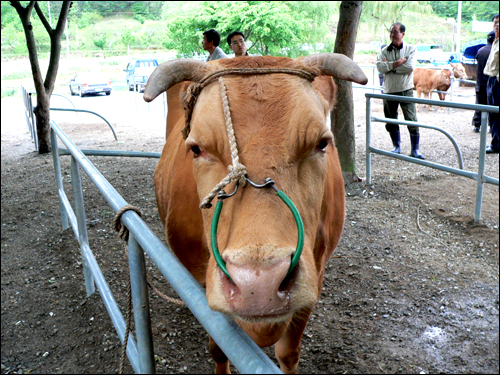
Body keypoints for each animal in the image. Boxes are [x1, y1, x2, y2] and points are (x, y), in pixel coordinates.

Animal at [145, 54, 368, 374]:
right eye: (196, 148)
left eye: (322, 142)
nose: (259, 284)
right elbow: (220, 345)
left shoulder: (316, 274)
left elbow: (288, 352)